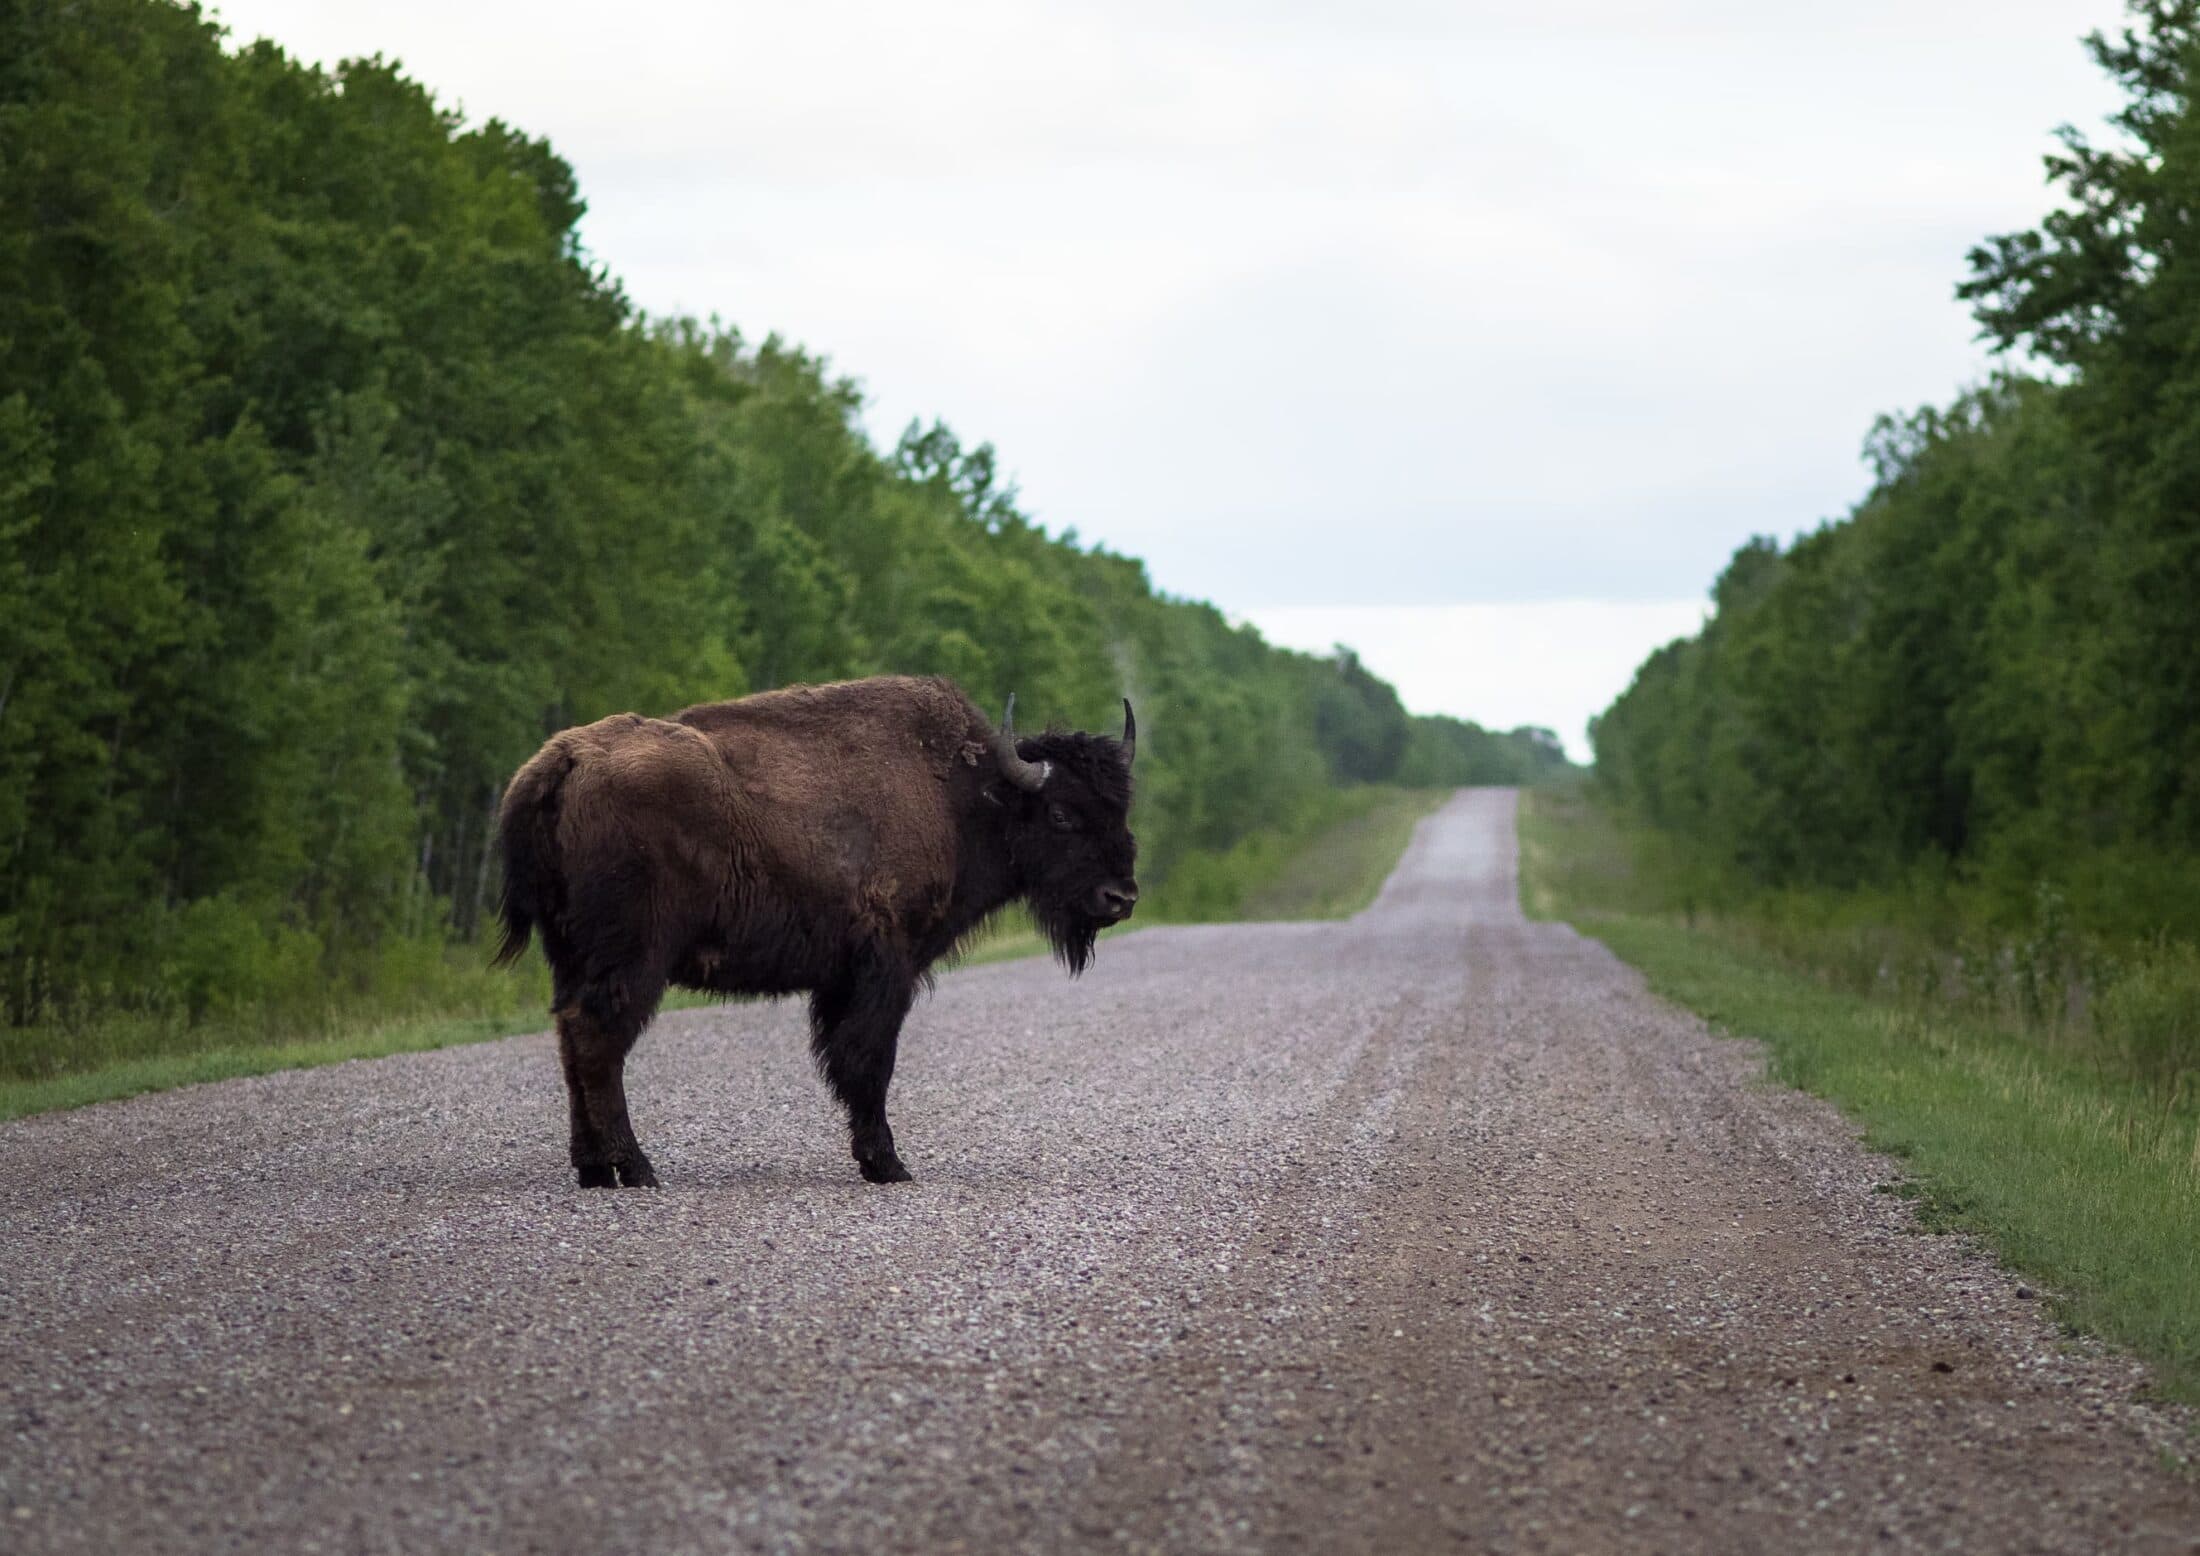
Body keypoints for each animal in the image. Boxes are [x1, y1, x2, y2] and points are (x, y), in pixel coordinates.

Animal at [492, 673, 1144, 1197]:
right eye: (1061, 813)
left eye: (1121, 810)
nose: (1121, 898)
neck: (963, 800)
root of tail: (561, 761)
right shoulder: (886, 968)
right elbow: (869, 1059)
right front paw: (888, 1165)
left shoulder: (841, 979)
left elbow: (847, 1058)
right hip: (634, 959)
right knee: (598, 1038)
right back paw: (636, 1169)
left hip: (570, 955)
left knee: (570, 1038)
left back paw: (594, 1170)